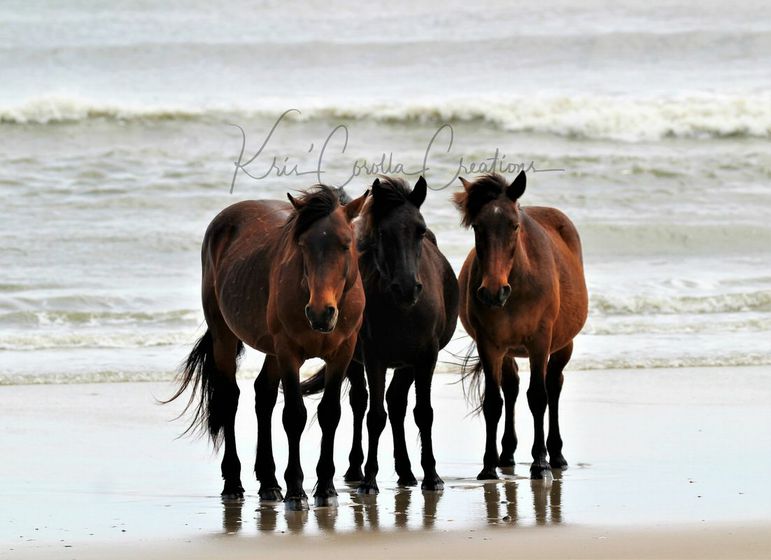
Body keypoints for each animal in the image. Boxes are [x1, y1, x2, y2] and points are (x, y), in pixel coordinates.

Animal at [164, 185, 369, 510]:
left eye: (345, 244)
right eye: (303, 245)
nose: (320, 313)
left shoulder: (342, 354)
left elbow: (330, 414)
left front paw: (326, 489)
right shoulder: (288, 353)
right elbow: (294, 416)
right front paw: (296, 492)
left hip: (272, 352)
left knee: (264, 396)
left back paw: (270, 484)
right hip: (225, 336)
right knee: (229, 398)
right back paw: (234, 484)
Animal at [301, 176, 459, 493]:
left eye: (420, 230)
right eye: (383, 233)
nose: (408, 288)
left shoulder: (425, 357)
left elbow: (423, 413)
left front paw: (432, 476)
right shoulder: (375, 358)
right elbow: (375, 416)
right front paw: (369, 480)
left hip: (405, 364)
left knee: (396, 403)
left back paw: (407, 473)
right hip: (354, 360)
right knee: (360, 403)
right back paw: (355, 470)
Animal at [453, 171, 588, 480]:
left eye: (514, 226)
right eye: (477, 226)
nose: (493, 292)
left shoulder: (540, 341)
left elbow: (538, 396)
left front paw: (540, 462)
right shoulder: (490, 344)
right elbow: (493, 402)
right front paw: (488, 466)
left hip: (563, 345)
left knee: (554, 385)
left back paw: (556, 455)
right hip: (507, 351)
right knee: (511, 387)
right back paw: (506, 454)